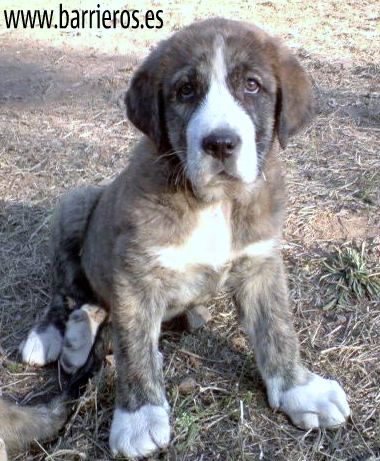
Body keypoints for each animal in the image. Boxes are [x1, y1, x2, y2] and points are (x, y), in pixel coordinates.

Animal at [19, 17, 348, 456]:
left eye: (252, 86)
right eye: (185, 90)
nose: (221, 143)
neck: (215, 201)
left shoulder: (260, 263)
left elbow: (276, 329)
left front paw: (299, 389)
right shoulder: (135, 274)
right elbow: (134, 346)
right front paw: (139, 416)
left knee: (102, 305)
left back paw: (79, 338)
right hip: (75, 204)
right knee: (67, 291)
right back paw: (52, 337)